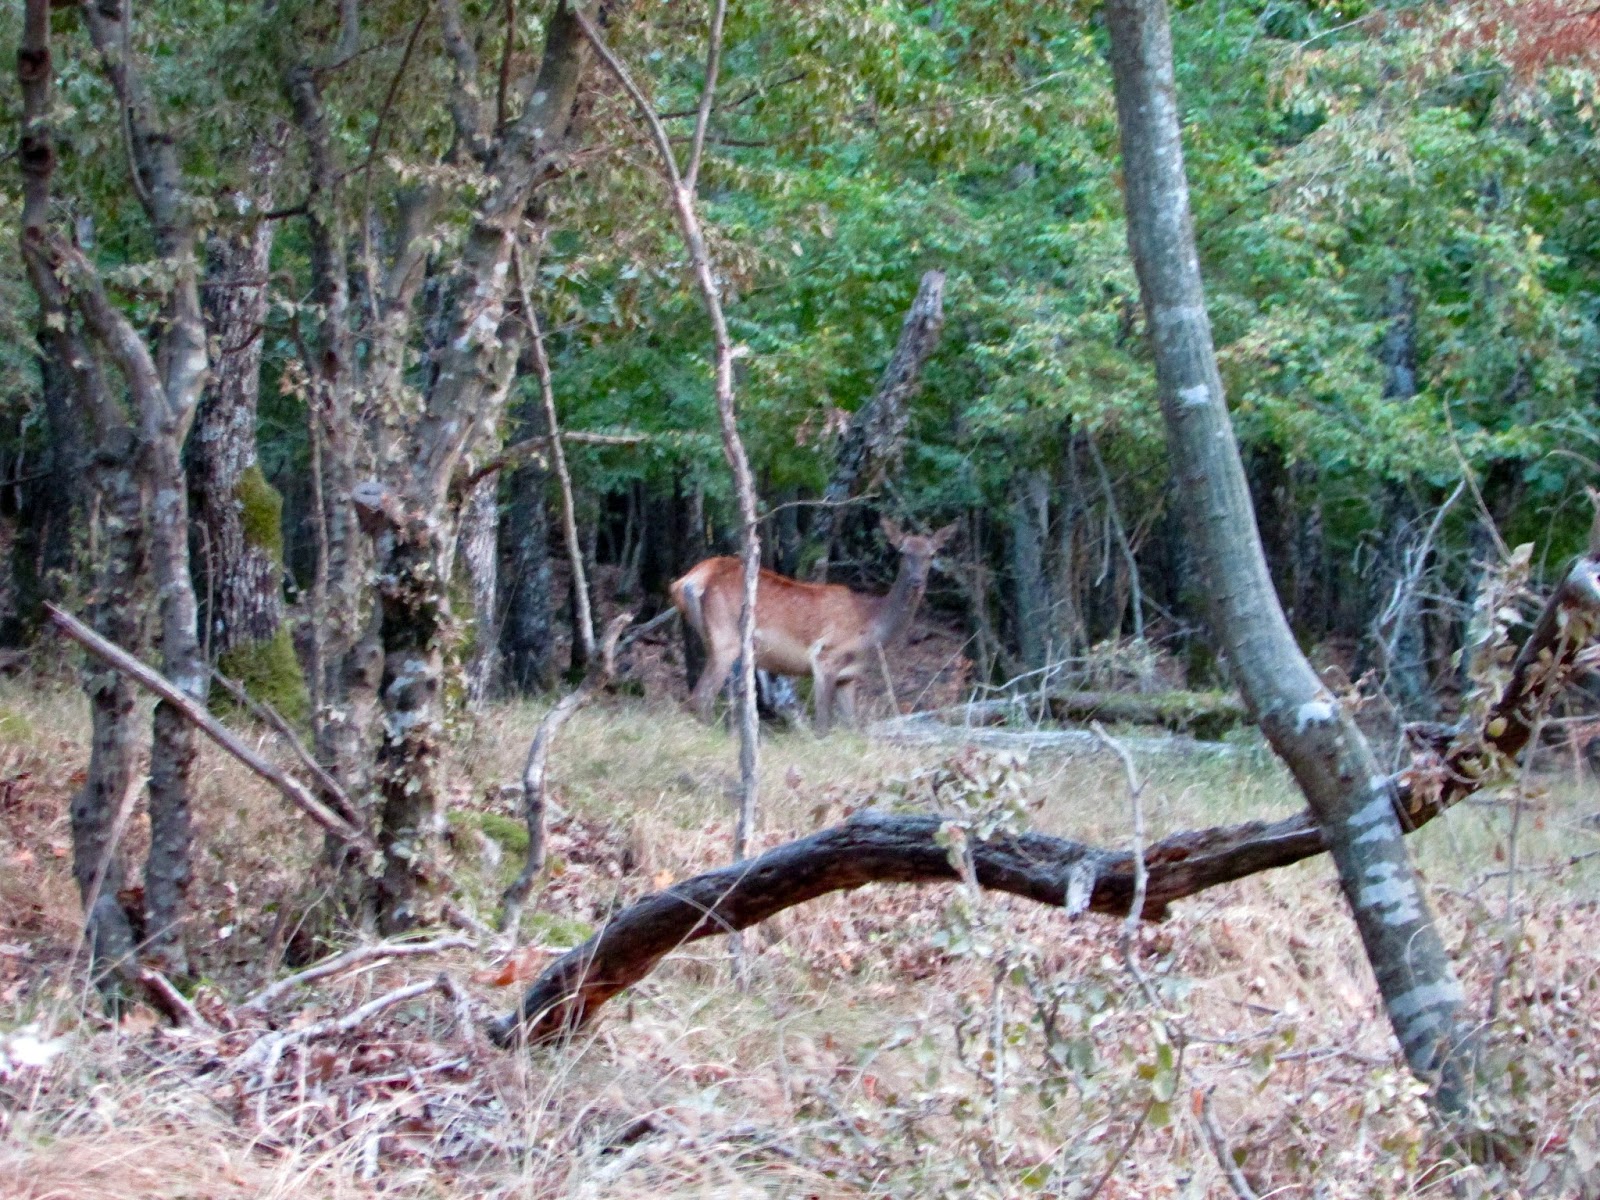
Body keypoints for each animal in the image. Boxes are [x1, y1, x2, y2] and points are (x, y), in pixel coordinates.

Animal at [668, 518, 953, 732]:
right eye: (903, 552)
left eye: (932, 554)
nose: (916, 581)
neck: (869, 628)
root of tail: (687, 580)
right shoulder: (825, 658)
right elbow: (823, 726)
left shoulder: (849, 676)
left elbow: (851, 726)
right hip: (725, 637)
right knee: (702, 695)